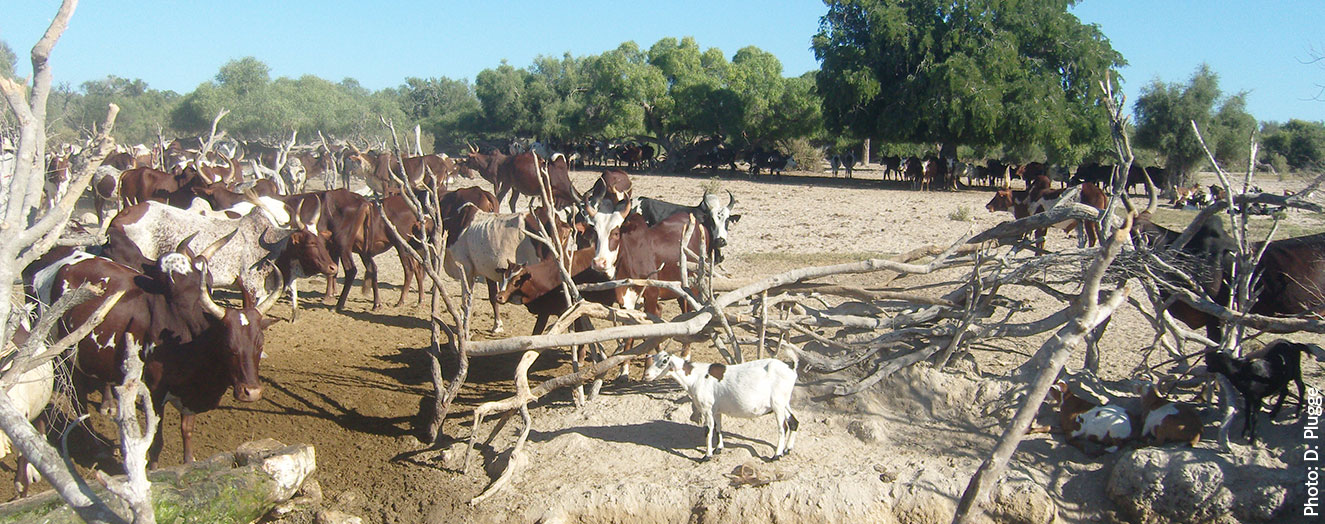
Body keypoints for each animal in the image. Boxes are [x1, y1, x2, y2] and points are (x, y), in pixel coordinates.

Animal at [641, 350, 795, 461]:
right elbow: (718, 428)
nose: (646, 375)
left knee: (782, 428)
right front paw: (718, 449)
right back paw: (787, 449)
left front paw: (706, 456)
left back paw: (776, 455)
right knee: (794, 422)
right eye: (653, 358)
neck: (695, 377)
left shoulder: (707, 409)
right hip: (784, 403)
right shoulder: (716, 410)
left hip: (778, 405)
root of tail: (791, 368)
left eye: (664, 361)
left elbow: (708, 431)